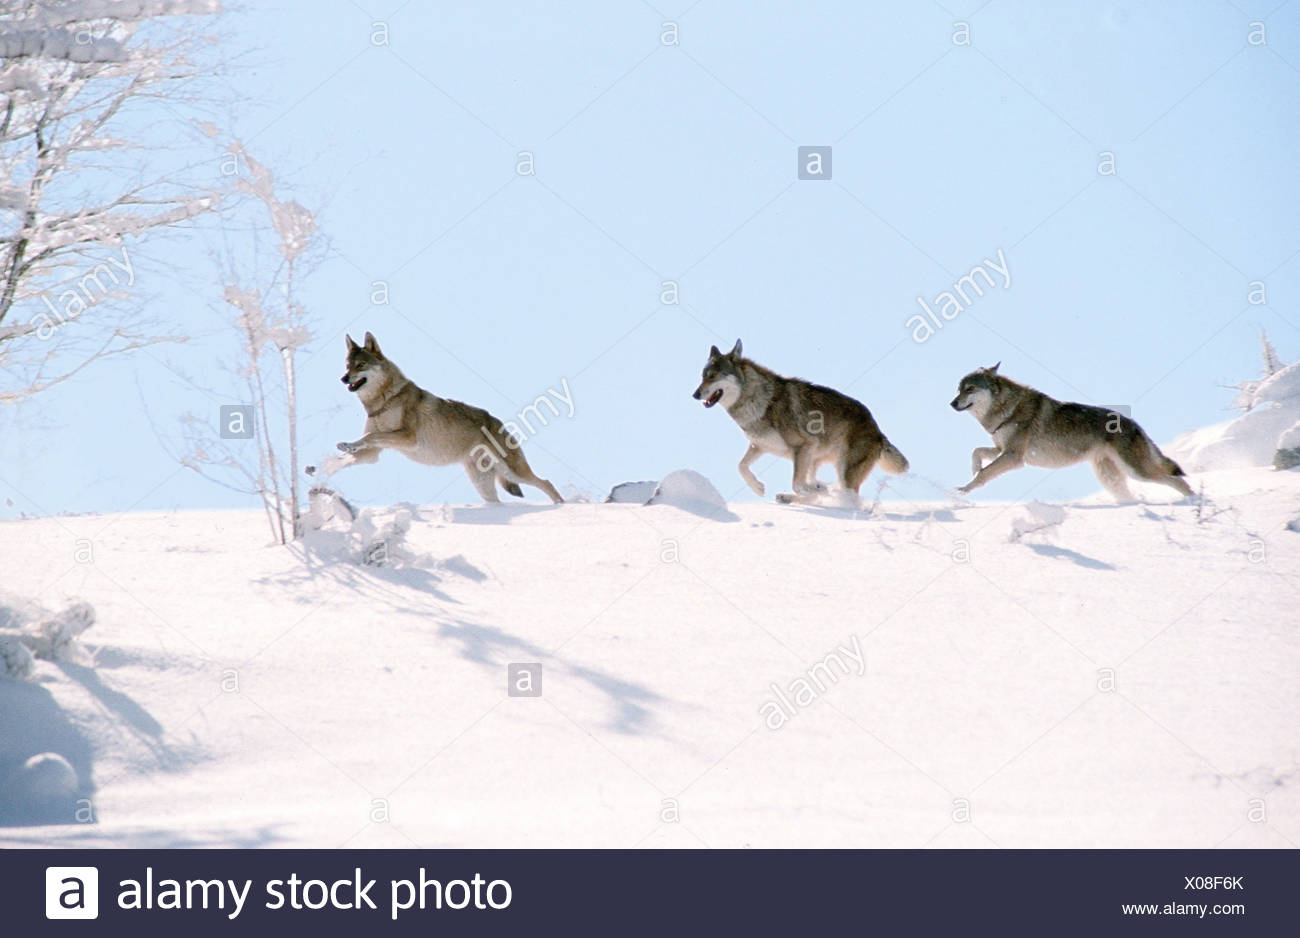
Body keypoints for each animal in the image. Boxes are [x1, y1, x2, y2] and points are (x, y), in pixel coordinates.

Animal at [320, 333, 563, 504]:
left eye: (360, 365)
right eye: (347, 365)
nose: (343, 378)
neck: (382, 402)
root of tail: (498, 421)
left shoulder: (407, 437)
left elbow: (371, 435)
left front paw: (345, 448)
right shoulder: (373, 454)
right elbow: (352, 453)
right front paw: (329, 465)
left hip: (514, 472)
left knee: (546, 482)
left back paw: (561, 505)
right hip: (483, 483)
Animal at [692, 339, 909, 504]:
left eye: (713, 376)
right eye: (702, 377)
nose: (695, 395)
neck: (758, 401)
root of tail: (878, 431)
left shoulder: (803, 446)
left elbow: (798, 484)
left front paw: (819, 489)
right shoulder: (760, 446)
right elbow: (741, 466)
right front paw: (758, 488)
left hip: (842, 470)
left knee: (847, 498)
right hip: (816, 460)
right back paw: (790, 497)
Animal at [949, 363, 1193, 500]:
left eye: (970, 388)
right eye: (958, 389)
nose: (952, 403)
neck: (1007, 409)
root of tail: (1135, 424)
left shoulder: (1014, 456)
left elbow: (984, 474)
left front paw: (962, 491)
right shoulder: (1001, 449)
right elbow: (976, 453)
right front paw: (972, 471)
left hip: (1137, 472)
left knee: (1178, 481)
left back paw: (1194, 502)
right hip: (1111, 479)